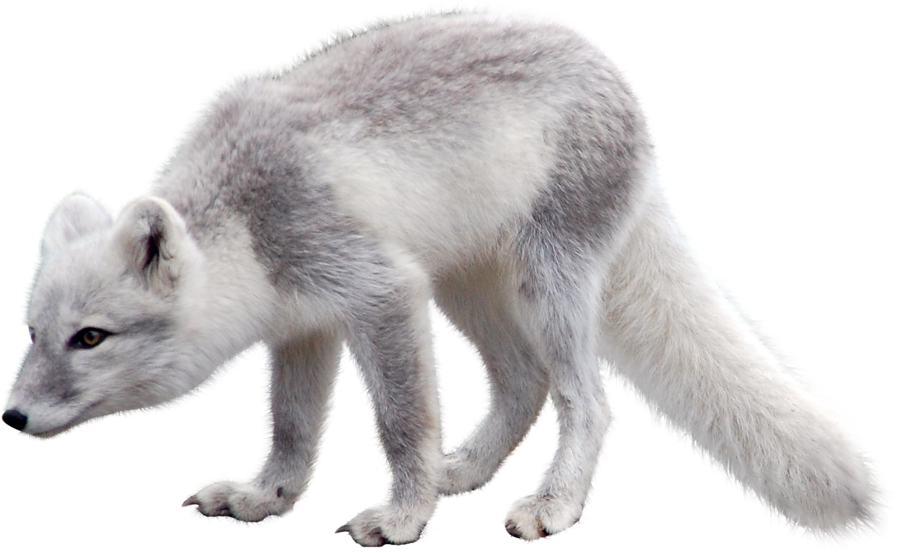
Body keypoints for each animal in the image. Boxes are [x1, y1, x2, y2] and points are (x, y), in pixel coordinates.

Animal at [1, 2, 895, 549]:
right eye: (33, 333)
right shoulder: (303, 324)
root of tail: (609, 64)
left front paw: (401, 516)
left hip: (546, 281)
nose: (9, 417)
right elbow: (288, 427)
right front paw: (264, 499)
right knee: (524, 383)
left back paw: (547, 503)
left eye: (91, 338)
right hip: (468, 287)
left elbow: (397, 419)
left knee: (588, 400)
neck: (245, 212)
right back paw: (458, 471)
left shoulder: (379, 289)